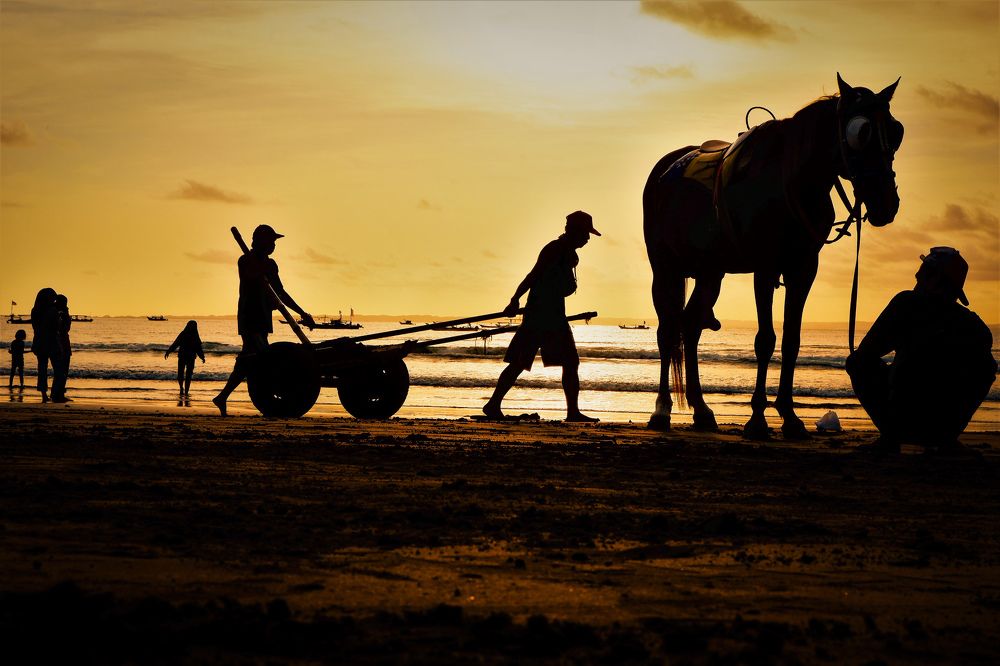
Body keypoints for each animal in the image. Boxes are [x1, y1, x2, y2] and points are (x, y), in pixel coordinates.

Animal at [643, 74, 904, 439]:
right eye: (861, 132)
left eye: (895, 131)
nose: (886, 202)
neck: (789, 182)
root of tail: (665, 169)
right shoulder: (764, 268)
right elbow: (765, 340)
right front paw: (757, 419)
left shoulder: (803, 270)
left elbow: (792, 340)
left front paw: (790, 416)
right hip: (665, 269)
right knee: (668, 332)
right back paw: (662, 410)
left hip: (710, 273)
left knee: (691, 327)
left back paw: (702, 409)